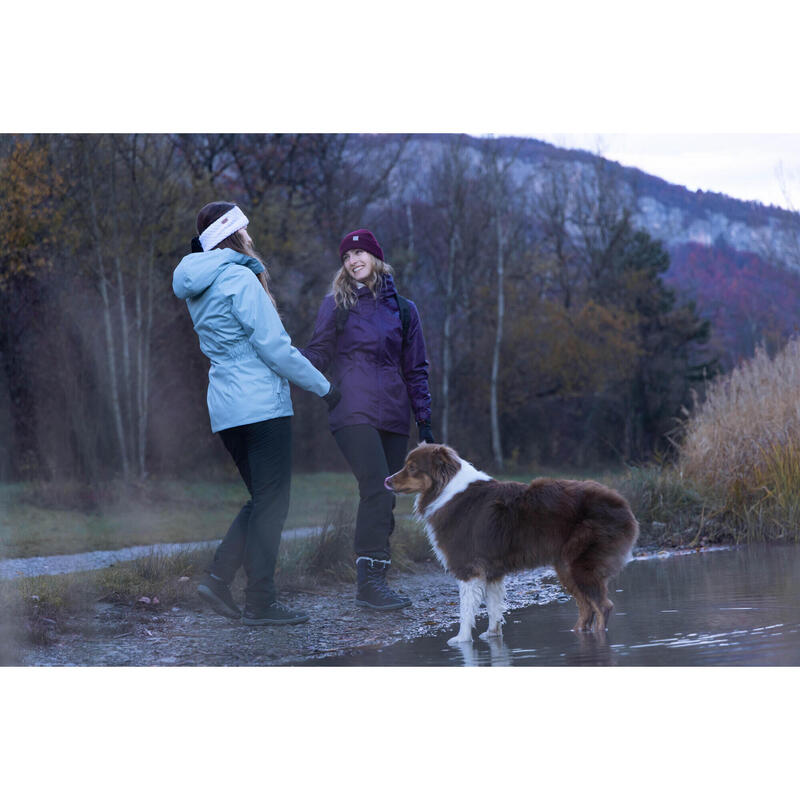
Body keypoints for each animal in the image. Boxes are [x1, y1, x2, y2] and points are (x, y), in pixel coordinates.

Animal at [384, 444, 640, 644]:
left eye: (412, 467)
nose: (386, 480)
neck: (446, 489)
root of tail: (622, 503)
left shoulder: (468, 569)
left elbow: (466, 610)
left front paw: (462, 639)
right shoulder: (492, 571)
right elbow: (494, 607)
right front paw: (492, 634)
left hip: (580, 566)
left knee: (603, 606)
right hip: (566, 567)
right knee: (586, 607)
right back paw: (576, 633)